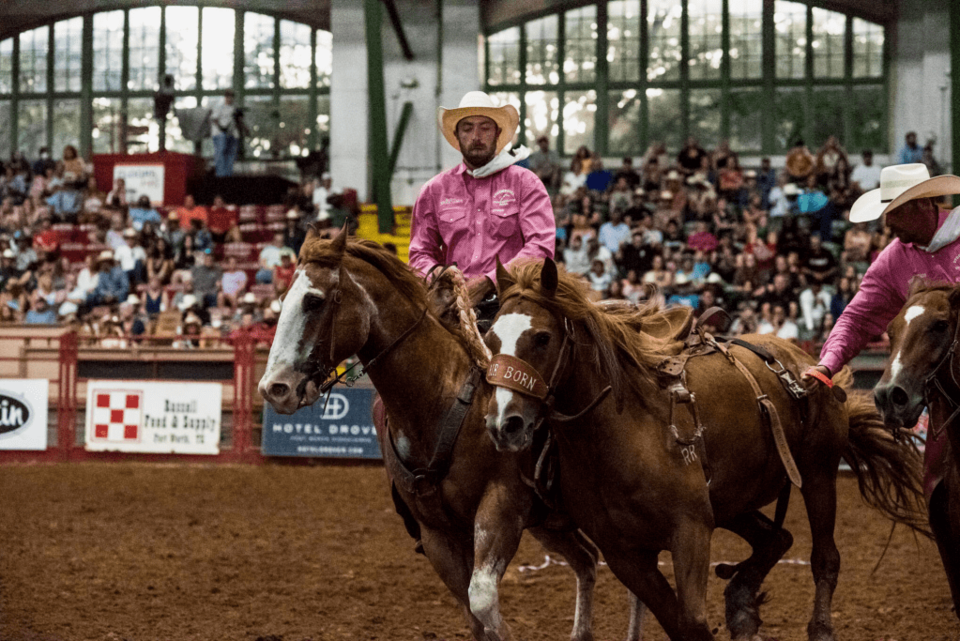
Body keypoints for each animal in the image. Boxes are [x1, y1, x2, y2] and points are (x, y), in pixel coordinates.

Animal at [258, 230, 644, 640]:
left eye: (313, 301)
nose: (274, 388)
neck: (441, 398)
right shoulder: (437, 535)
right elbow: (473, 616)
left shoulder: (501, 506)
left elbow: (483, 601)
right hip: (552, 523)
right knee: (586, 561)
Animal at [484, 258, 928, 640]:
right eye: (489, 339)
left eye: (542, 337)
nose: (504, 423)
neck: (617, 431)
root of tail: (807, 364)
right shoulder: (625, 554)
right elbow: (677, 622)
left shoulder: (690, 531)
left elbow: (693, 622)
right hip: (733, 499)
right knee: (776, 539)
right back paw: (741, 605)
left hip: (818, 475)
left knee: (825, 558)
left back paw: (817, 628)